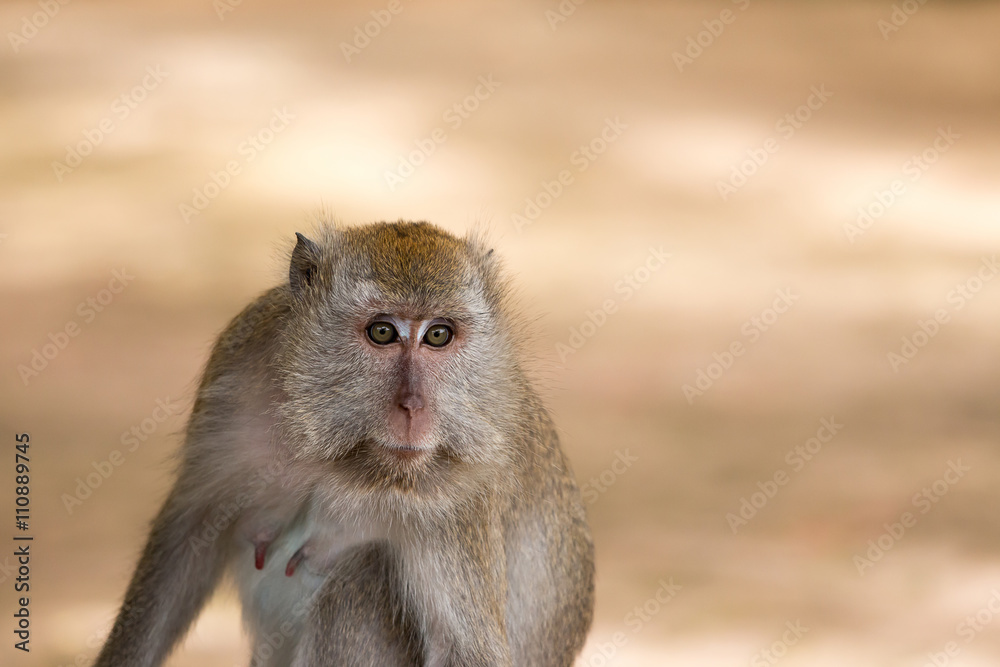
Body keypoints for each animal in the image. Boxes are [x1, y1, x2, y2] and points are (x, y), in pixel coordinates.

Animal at [94, 220, 595, 667]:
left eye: (438, 335)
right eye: (382, 332)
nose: (413, 407)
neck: (333, 448)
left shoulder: (462, 487)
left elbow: (469, 651)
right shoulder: (233, 375)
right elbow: (189, 533)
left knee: (363, 572)